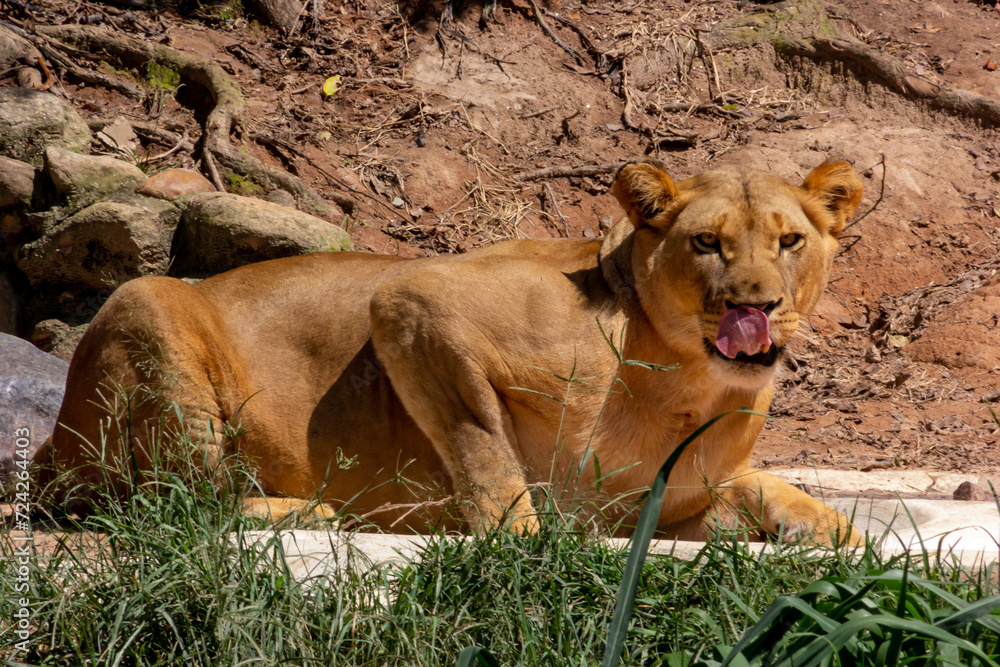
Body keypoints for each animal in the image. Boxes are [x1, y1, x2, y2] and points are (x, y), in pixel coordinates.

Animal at [34, 158, 863, 545]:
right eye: (706, 243)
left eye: (790, 241)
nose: (757, 306)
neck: (693, 383)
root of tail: (47, 446)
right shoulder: (414, 297)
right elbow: (482, 445)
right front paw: (525, 544)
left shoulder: (666, 508)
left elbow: (775, 492)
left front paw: (853, 544)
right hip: (146, 307)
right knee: (167, 504)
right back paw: (310, 509)